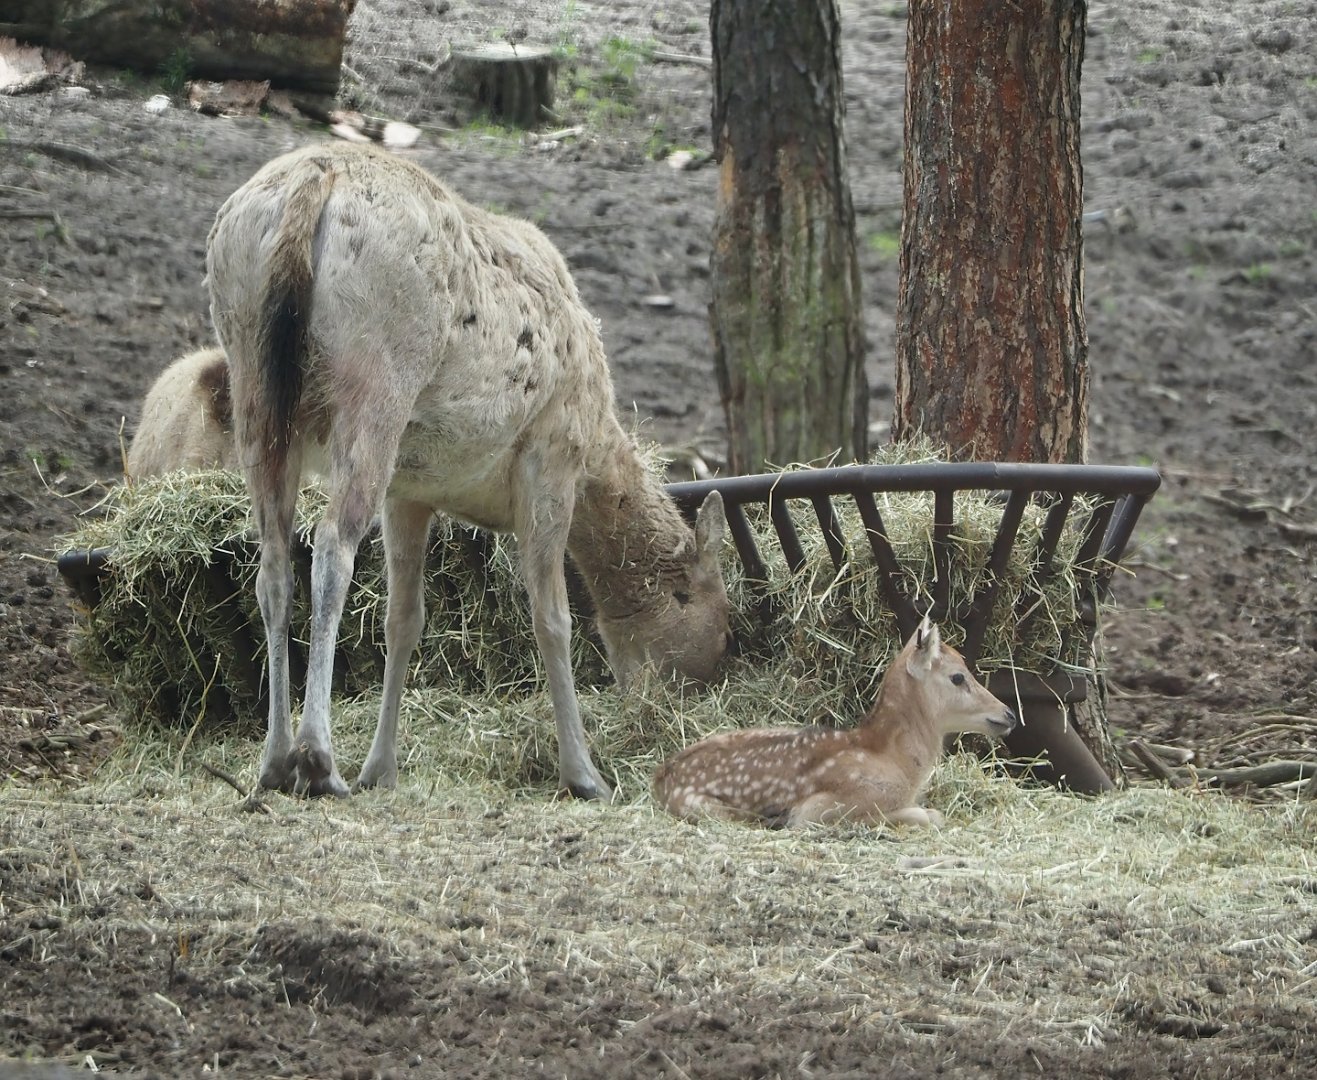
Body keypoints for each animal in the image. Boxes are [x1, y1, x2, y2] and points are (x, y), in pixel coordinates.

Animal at [205, 141, 730, 801]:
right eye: (721, 615)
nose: (699, 691)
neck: (598, 444)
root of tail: (311, 180)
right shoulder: (550, 455)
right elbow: (553, 616)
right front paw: (584, 774)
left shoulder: (410, 490)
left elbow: (403, 619)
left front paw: (382, 768)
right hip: (376, 377)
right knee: (329, 544)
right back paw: (318, 759)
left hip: (253, 379)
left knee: (274, 559)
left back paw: (274, 761)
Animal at [654, 618, 1016, 828]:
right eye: (958, 677)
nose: (1009, 714)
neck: (896, 762)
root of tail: (660, 780)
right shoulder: (820, 808)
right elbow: (927, 816)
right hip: (706, 806)